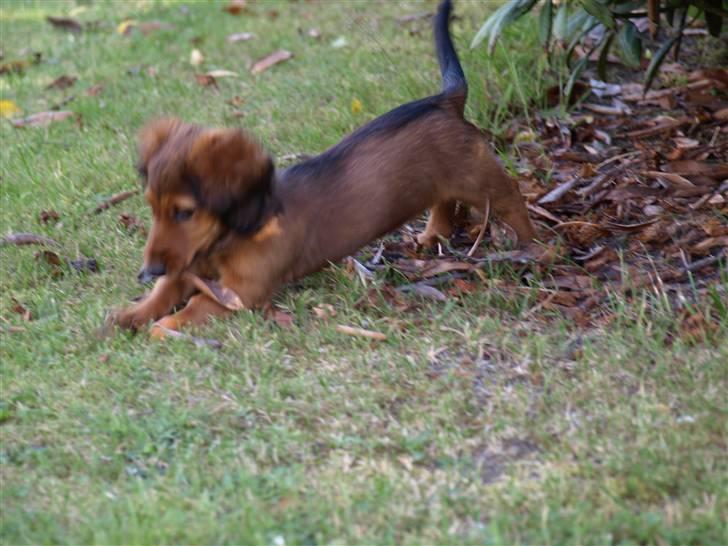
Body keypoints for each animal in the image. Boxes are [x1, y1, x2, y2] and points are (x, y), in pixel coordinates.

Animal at [114, 0, 536, 334]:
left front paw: (168, 325)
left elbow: (198, 303)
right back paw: (434, 234)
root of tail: (445, 100)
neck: (233, 235)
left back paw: (532, 248)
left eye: (185, 212)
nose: (147, 271)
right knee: (443, 200)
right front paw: (130, 314)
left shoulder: (242, 292)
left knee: (512, 198)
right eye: (152, 207)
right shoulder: (190, 267)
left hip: (479, 179)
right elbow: (166, 290)